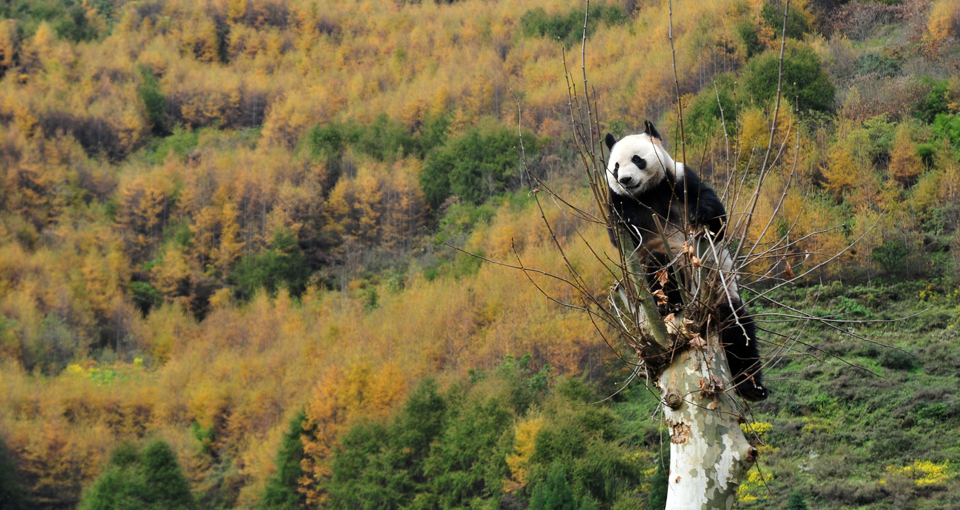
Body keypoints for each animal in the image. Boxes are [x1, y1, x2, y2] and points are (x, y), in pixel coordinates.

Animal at [604, 120, 767, 402]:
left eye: (637, 159)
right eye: (615, 166)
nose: (625, 180)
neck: (647, 194)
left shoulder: (680, 178)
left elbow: (716, 216)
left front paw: (699, 215)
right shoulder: (620, 201)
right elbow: (623, 237)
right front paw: (623, 221)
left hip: (721, 291)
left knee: (739, 331)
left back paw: (752, 387)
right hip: (663, 264)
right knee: (660, 268)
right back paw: (669, 303)